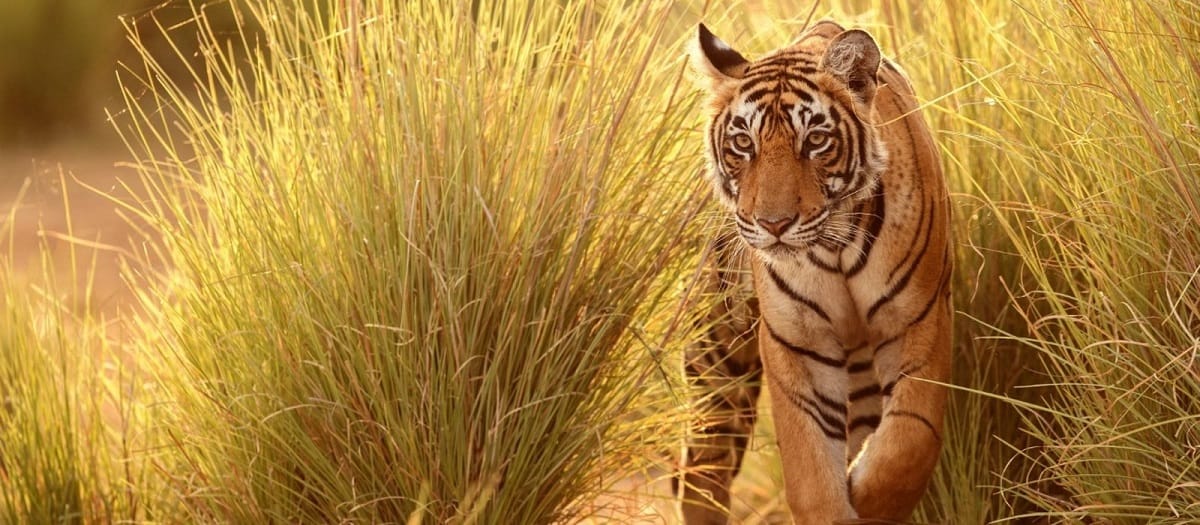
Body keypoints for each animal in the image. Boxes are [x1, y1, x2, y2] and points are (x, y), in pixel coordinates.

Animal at [676, 20, 953, 524]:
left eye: (816, 141)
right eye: (743, 144)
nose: (773, 224)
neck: (835, 249)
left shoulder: (918, 319)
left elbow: (907, 445)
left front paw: (866, 495)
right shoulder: (798, 341)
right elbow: (810, 470)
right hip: (718, 355)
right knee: (701, 471)